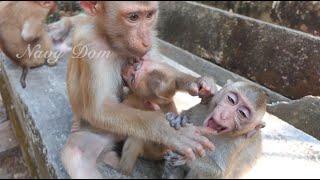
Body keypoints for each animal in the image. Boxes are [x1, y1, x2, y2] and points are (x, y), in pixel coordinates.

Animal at [61, 1, 216, 179]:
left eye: (149, 15)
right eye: (133, 17)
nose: (146, 41)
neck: (112, 41)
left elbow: (164, 71)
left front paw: (198, 82)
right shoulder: (90, 45)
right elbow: (99, 110)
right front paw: (168, 130)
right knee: (75, 154)